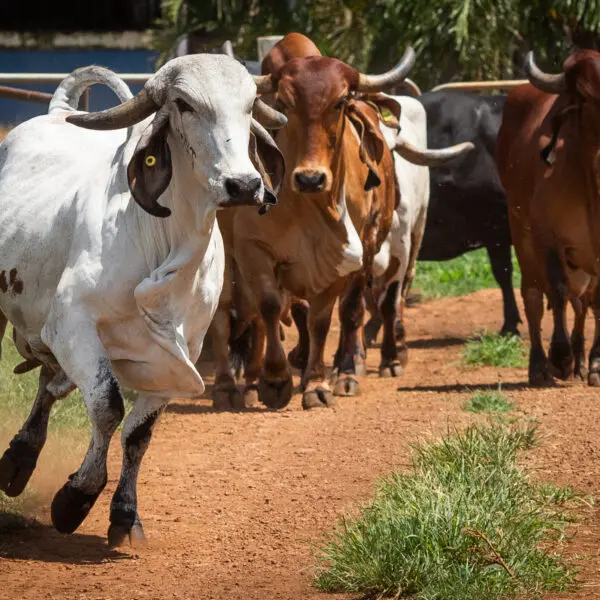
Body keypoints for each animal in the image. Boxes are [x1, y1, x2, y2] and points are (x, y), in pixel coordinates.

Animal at [0, 56, 286, 548]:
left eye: (251, 104)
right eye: (185, 104)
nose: (244, 184)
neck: (167, 241)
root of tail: (57, 111)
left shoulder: (181, 352)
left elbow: (138, 432)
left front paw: (124, 514)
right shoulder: (72, 326)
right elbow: (108, 407)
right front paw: (76, 498)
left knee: (51, 385)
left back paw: (20, 457)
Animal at [366, 95, 474, 376]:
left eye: (391, 151)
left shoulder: (401, 249)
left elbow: (390, 302)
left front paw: (392, 359)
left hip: (419, 228)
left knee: (402, 290)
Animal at [494, 49, 600, 386]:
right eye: (587, 98)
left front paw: (595, 363)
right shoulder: (546, 239)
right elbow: (556, 291)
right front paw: (561, 358)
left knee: (584, 304)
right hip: (523, 240)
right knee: (534, 299)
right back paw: (540, 366)